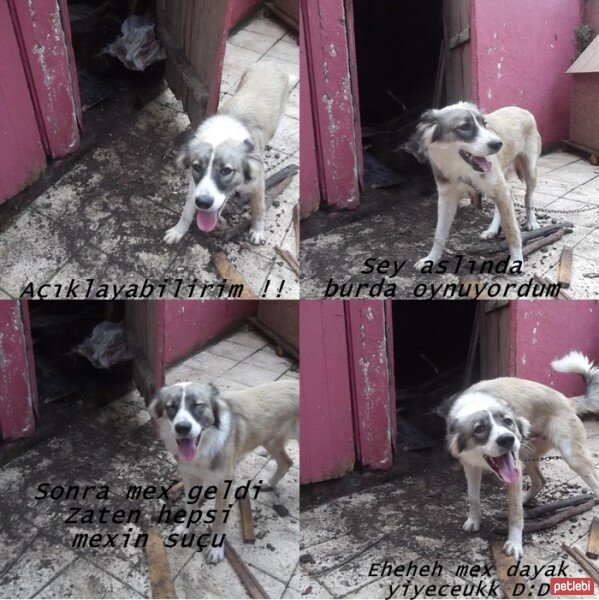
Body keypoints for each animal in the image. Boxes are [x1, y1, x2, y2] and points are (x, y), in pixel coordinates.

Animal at [150, 380, 300, 564]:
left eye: (198, 405)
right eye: (170, 407)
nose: (182, 427)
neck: (205, 446)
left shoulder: (224, 484)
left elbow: (219, 520)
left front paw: (215, 548)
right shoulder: (190, 476)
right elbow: (190, 506)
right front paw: (186, 528)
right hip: (270, 441)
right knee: (286, 462)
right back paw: (270, 484)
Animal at [164, 61, 296, 246]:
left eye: (226, 170)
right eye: (197, 167)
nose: (203, 203)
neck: (222, 134)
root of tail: (271, 63)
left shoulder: (258, 183)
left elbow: (258, 209)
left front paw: (257, 231)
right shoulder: (195, 187)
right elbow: (186, 212)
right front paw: (178, 231)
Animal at [408, 102, 544, 268]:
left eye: (484, 124)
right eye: (464, 127)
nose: (498, 144)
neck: (462, 170)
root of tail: (520, 108)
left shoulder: (500, 190)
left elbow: (511, 230)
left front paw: (516, 260)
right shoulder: (447, 197)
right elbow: (439, 234)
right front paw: (431, 258)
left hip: (529, 169)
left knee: (528, 196)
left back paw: (532, 221)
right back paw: (492, 229)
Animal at [446, 350, 599, 560]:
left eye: (508, 421)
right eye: (479, 429)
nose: (507, 439)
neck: (477, 404)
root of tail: (567, 399)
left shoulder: (514, 467)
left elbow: (514, 513)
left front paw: (514, 544)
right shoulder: (470, 466)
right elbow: (473, 497)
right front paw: (474, 520)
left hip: (572, 457)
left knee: (594, 482)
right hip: (526, 456)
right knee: (540, 480)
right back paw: (526, 499)